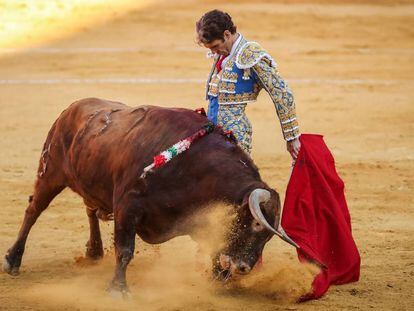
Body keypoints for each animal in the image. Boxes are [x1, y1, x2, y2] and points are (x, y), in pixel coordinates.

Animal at [2, 98, 294, 296]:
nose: (244, 267)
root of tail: (70, 109)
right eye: (255, 224)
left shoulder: (198, 216)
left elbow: (214, 246)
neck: (192, 167)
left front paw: (215, 280)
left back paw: (94, 251)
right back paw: (13, 260)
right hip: (50, 173)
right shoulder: (127, 207)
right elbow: (125, 250)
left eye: (269, 236)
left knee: (89, 209)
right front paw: (118, 290)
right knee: (33, 210)